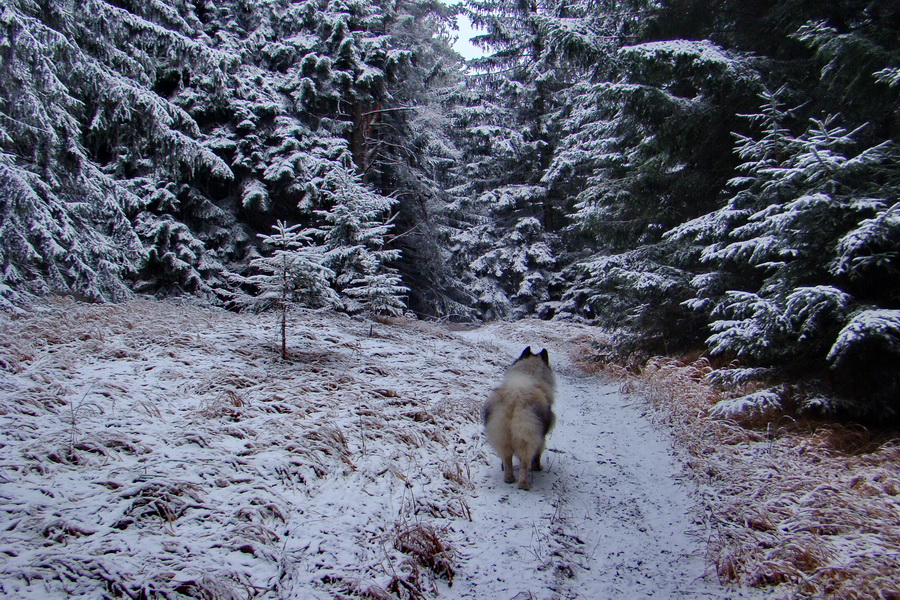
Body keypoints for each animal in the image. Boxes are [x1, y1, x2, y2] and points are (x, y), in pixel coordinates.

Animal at [482, 344, 552, 490]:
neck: (529, 373)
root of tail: (515, 397)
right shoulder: (541, 437)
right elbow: (537, 455)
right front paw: (538, 468)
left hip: (501, 433)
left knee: (507, 457)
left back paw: (508, 478)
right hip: (526, 436)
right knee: (524, 462)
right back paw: (523, 484)